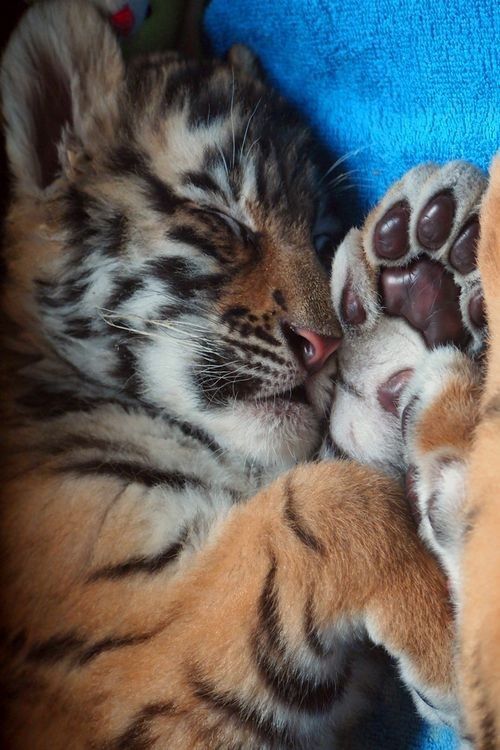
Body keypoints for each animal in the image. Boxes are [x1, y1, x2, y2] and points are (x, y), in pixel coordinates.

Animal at [0, 0, 495, 747]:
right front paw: (452, 649)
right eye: (221, 219)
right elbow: (322, 501)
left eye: (319, 238)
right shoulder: (120, 653)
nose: (324, 346)